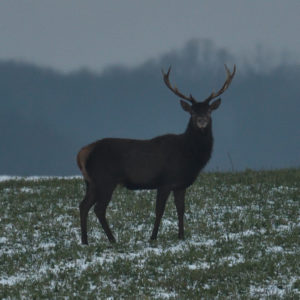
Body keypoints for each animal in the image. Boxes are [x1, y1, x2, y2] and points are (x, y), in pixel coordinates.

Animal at [77, 63, 237, 244]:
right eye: (192, 112)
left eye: (209, 111)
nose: (201, 121)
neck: (188, 155)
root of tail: (84, 151)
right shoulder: (165, 181)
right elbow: (160, 210)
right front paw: (152, 237)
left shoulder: (180, 185)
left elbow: (181, 209)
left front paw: (181, 236)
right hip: (105, 179)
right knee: (98, 209)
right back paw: (112, 239)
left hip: (91, 182)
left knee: (83, 205)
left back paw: (85, 241)